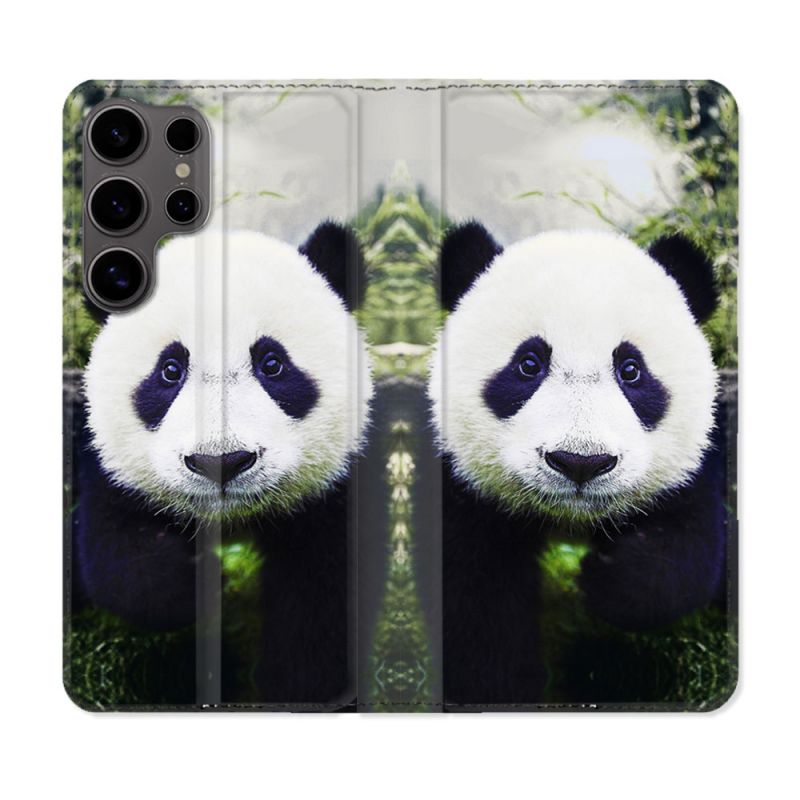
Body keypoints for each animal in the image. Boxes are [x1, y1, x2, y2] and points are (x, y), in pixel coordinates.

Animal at [74, 222, 372, 706]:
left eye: (272, 363)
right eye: (170, 370)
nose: (222, 463)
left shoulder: (334, 491)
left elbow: (321, 603)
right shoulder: (110, 469)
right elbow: (118, 557)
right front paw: (195, 584)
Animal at [428, 222, 727, 707]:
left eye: (631, 369)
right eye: (528, 364)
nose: (580, 463)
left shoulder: (691, 465)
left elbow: (687, 551)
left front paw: (609, 578)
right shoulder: (462, 488)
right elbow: (474, 605)